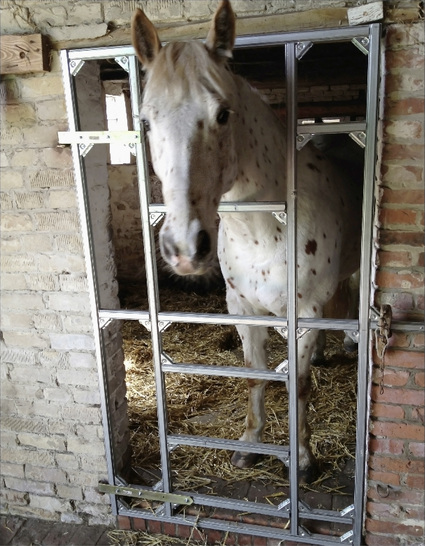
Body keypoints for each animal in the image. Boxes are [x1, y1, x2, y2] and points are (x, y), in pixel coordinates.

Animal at [131, 0, 360, 478]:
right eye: (145, 120)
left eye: (222, 114)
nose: (184, 248)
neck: (262, 231)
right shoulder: (243, 309)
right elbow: (256, 377)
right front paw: (249, 445)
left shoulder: (303, 313)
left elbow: (298, 385)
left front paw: (303, 458)